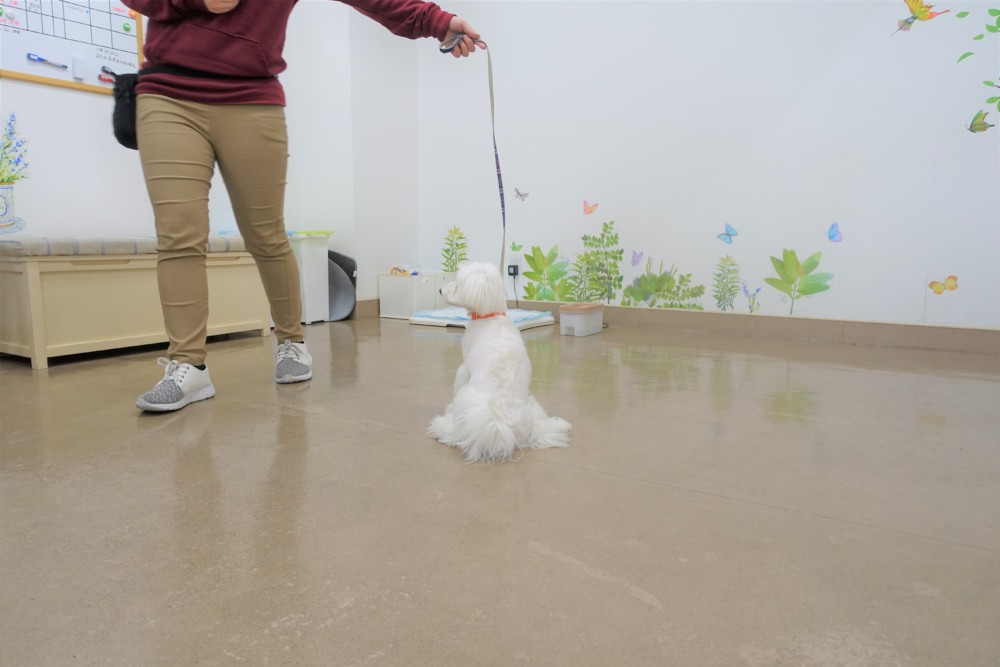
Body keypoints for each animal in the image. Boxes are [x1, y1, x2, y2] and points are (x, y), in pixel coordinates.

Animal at [428, 261, 571, 463]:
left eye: (457, 283)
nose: (441, 290)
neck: (491, 316)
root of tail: (503, 428)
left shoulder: (465, 368)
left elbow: (458, 381)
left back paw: (442, 426)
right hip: (531, 405)